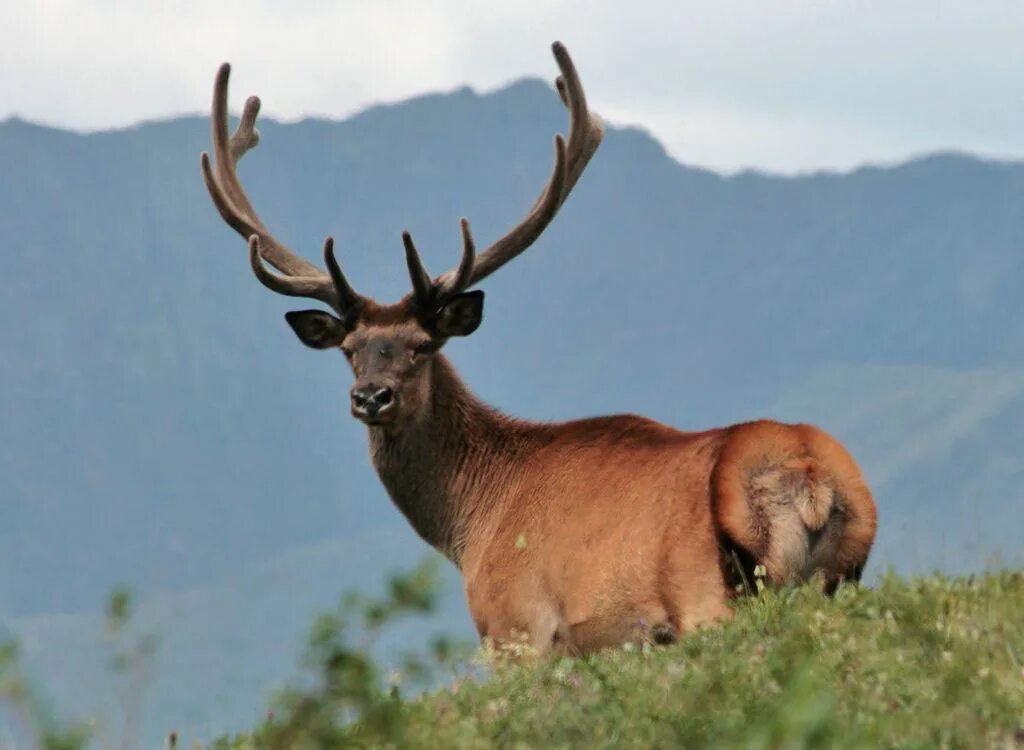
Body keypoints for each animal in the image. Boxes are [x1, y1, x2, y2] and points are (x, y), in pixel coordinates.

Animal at [201, 40, 880, 651]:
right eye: (351, 350)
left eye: (422, 344)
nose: (371, 397)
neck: (468, 526)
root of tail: (811, 480)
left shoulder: (518, 628)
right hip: (838, 579)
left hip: (706, 597)